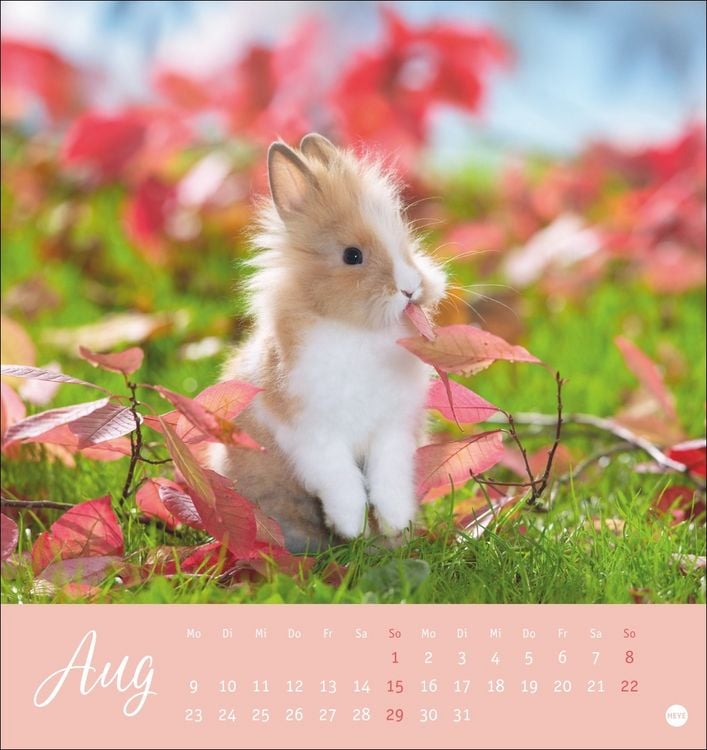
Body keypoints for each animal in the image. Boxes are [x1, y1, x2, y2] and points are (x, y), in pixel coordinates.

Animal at [209, 133, 446, 553]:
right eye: (352, 255)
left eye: (406, 245)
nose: (410, 288)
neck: (359, 332)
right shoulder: (310, 431)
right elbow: (340, 478)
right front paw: (352, 525)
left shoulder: (393, 428)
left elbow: (389, 477)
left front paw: (394, 523)